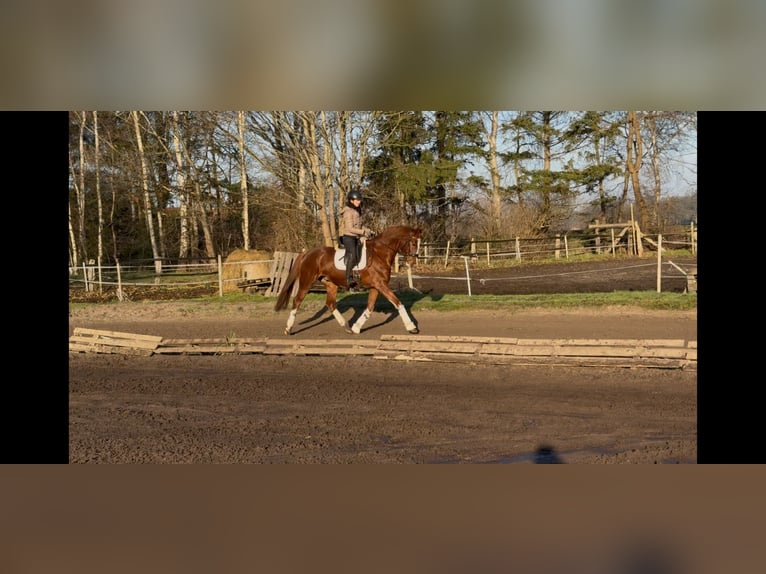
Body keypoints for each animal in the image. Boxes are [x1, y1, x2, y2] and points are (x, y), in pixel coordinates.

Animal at [274, 225, 423, 335]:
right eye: (413, 242)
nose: (413, 262)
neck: (380, 253)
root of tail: (308, 253)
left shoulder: (375, 286)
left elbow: (370, 307)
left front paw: (356, 327)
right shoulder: (381, 285)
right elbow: (398, 303)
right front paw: (411, 327)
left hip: (331, 284)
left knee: (330, 304)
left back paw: (346, 326)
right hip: (307, 282)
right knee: (297, 301)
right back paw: (288, 329)